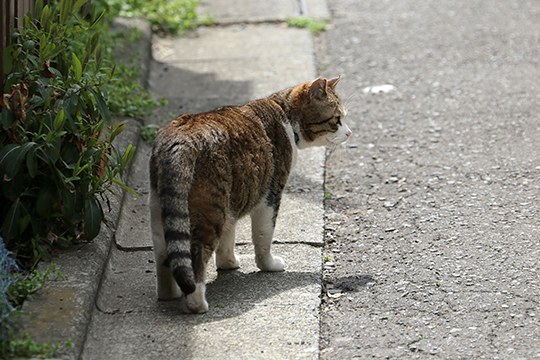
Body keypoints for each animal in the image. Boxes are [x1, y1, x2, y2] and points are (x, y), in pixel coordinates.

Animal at [149, 76, 350, 312]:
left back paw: (168, 294)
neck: (284, 114)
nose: (349, 133)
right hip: (211, 211)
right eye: (336, 120)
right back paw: (196, 303)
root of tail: (181, 138)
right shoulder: (270, 195)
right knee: (196, 253)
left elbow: (229, 237)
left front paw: (228, 263)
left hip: (163, 210)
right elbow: (263, 237)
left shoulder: (233, 203)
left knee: (164, 253)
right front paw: (268, 265)